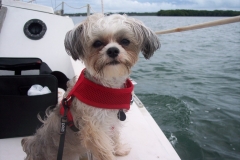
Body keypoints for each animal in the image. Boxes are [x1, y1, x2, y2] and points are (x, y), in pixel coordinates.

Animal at [21, 13, 160, 160]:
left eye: (125, 41)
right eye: (97, 43)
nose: (112, 50)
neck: (108, 86)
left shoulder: (113, 119)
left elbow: (114, 135)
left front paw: (119, 149)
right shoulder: (93, 128)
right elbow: (104, 150)